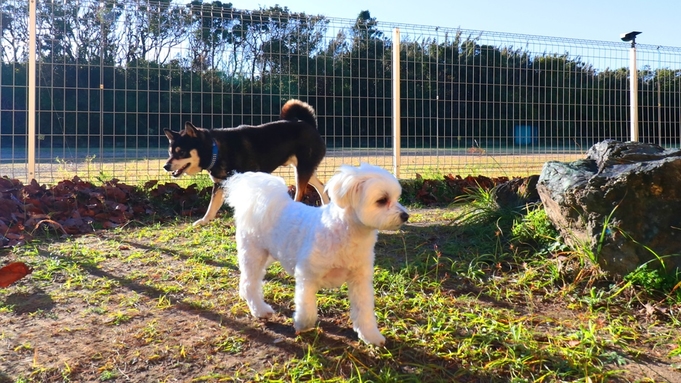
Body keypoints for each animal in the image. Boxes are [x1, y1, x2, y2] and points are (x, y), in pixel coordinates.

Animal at [162, 99, 326, 226]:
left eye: (181, 152)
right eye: (170, 152)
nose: (165, 166)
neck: (217, 150)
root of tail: (309, 124)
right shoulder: (220, 184)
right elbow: (212, 207)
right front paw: (204, 221)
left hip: (302, 170)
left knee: (300, 194)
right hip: (304, 170)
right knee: (321, 186)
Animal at [224, 164, 410, 346]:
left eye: (397, 197)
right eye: (382, 200)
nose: (405, 215)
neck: (347, 233)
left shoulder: (360, 280)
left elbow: (363, 310)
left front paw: (371, 335)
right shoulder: (307, 275)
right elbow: (307, 308)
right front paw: (302, 324)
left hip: (268, 255)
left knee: (246, 280)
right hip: (254, 254)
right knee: (250, 283)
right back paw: (260, 310)